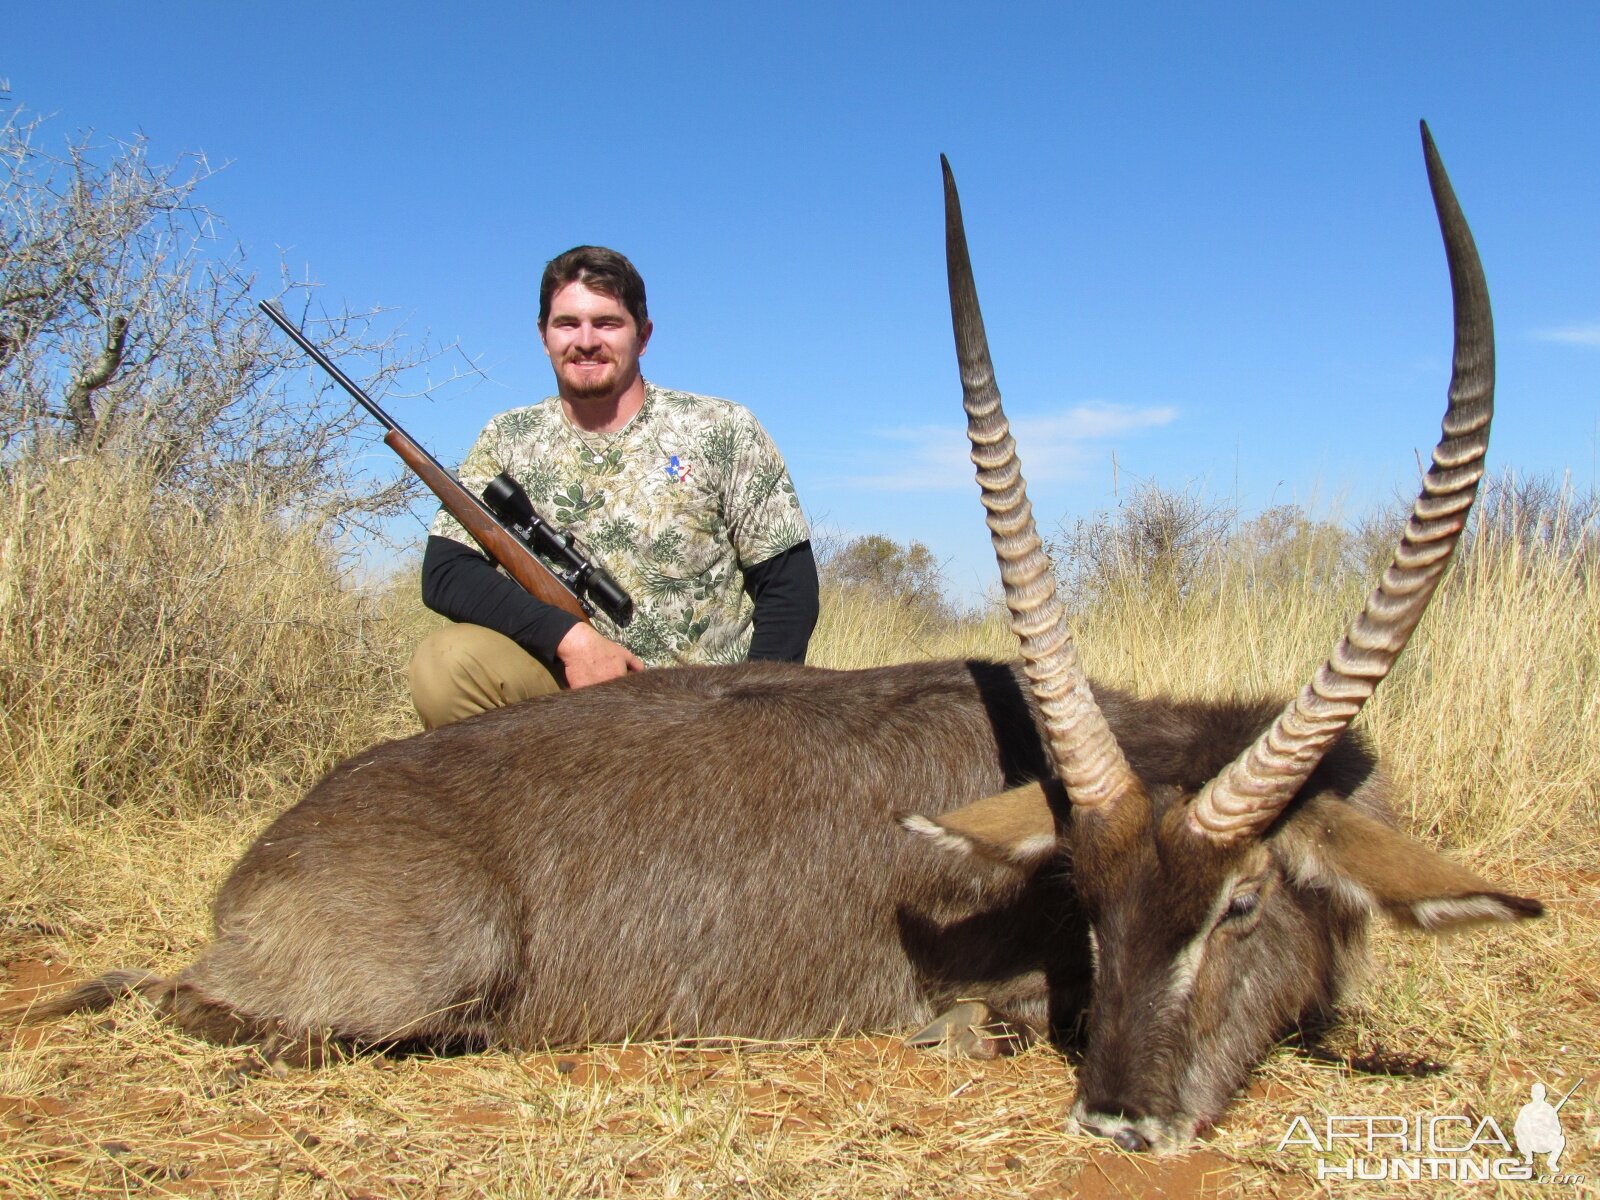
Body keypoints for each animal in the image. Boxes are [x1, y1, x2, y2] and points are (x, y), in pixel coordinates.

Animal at [21, 124, 1536, 1158]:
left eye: (1242, 907)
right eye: (1092, 906)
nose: (1118, 1122)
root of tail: (259, 864)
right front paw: (979, 1028)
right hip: (426, 964)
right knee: (200, 1005)